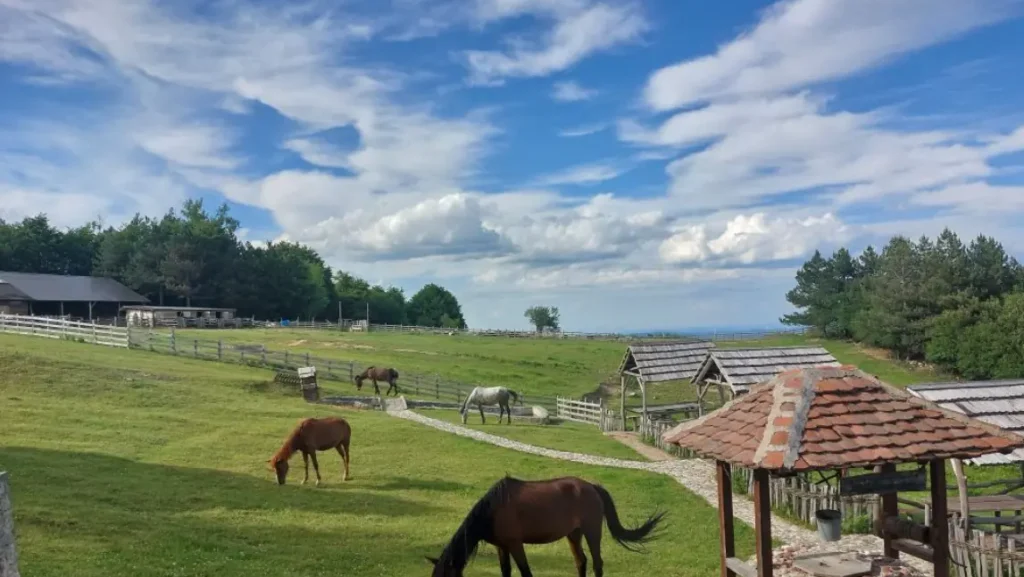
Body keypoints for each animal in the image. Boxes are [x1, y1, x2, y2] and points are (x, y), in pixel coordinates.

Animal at [423, 475, 663, 573]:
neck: (493, 509)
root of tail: (593, 487)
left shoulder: (515, 545)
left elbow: (525, 572)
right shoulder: (501, 546)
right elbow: (506, 572)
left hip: (592, 531)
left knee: (597, 563)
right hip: (573, 534)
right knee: (581, 562)